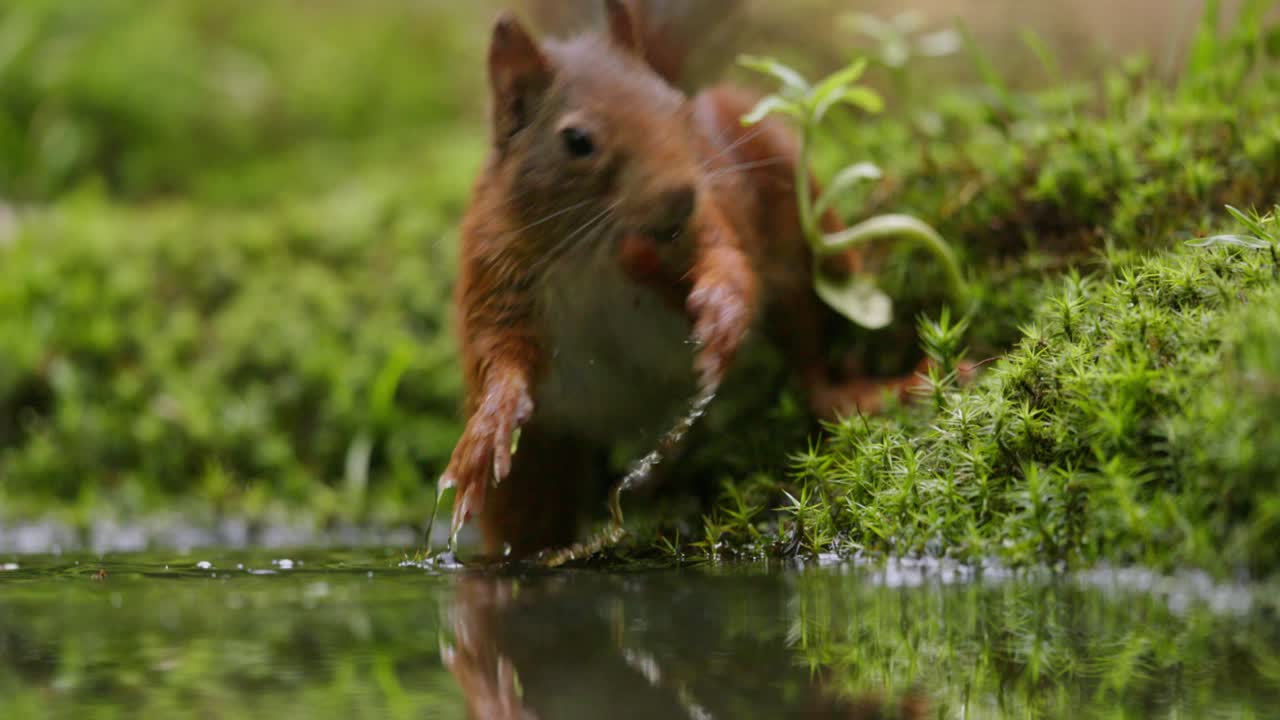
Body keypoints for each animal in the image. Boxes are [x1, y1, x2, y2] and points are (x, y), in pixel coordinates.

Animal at [444, 0, 933, 558]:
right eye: (577, 141)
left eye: (677, 107)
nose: (681, 196)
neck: (592, 256)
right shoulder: (494, 269)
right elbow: (497, 350)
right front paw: (491, 420)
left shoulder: (709, 219)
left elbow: (729, 264)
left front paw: (719, 310)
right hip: (542, 452)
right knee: (528, 513)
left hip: (793, 205)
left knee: (809, 356)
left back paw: (868, 391)